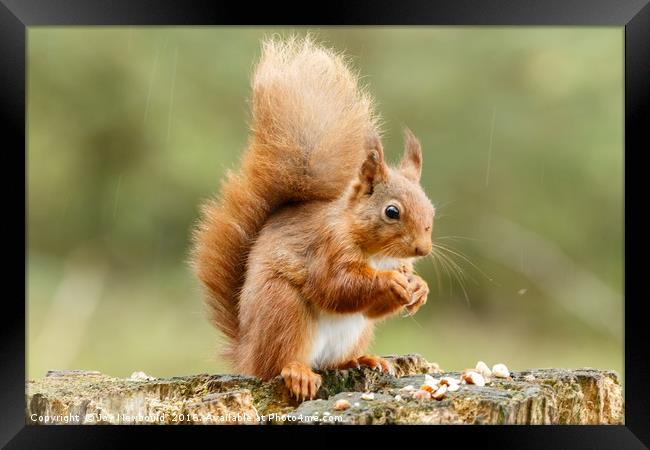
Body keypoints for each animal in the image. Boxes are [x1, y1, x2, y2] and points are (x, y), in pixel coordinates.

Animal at [192, 37, 436, 400]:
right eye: (392, 212)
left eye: (431, 211)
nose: (423, 249)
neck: (377, 254)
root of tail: (247, 353)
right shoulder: (326, 247)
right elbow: (336, 286)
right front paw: (390, 282)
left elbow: (371, 303)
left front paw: (419, 288)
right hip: (283, 310)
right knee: (278, 363)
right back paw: (297, 372)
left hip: (356, 331)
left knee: (335, 359)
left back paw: (362, 360)